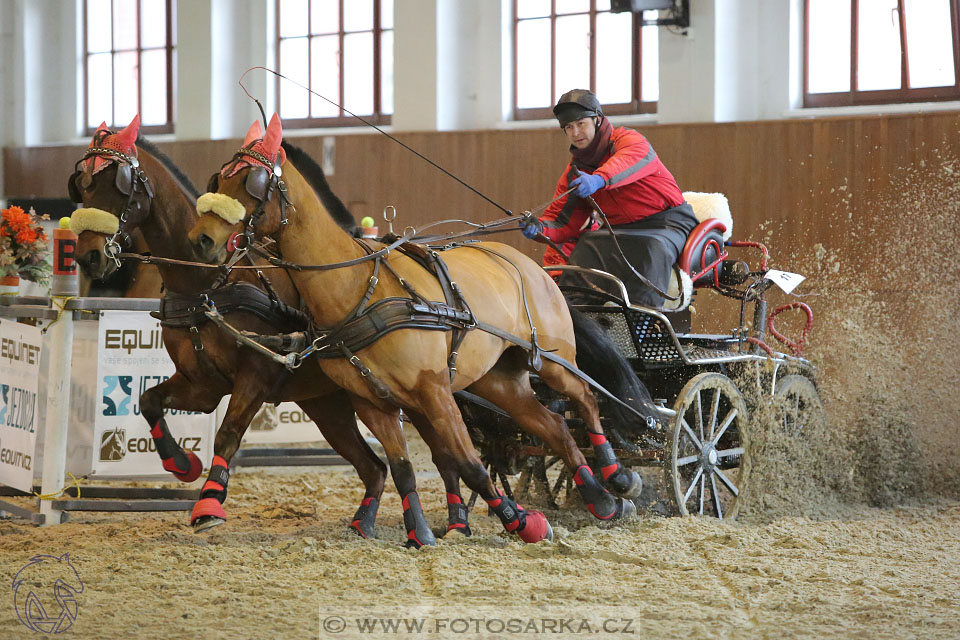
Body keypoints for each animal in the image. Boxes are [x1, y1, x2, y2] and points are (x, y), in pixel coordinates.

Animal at [188, 112, 644, 544]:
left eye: (251, 182)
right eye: (218, 178)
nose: (200, 240)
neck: (357, 289)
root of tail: (531, 265)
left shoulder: (434, 390)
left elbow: (470, 464)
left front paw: (523, 523)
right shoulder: (373, 401)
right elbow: (403, 466)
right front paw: (419, 533)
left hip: (552, 360)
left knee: (585, 400)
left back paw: (618, 478)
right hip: (498, 381)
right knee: (553, 427)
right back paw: (600, 498)